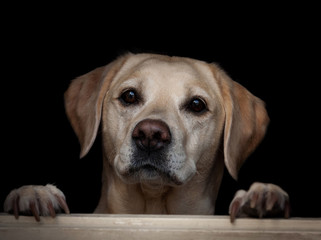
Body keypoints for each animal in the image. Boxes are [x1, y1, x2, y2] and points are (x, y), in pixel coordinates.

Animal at [3, 52, 290, 221]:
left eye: (197, 105)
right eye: (130, 96)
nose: (150, 134)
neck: (154, 207)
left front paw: (261, 197)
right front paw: (35, 194)